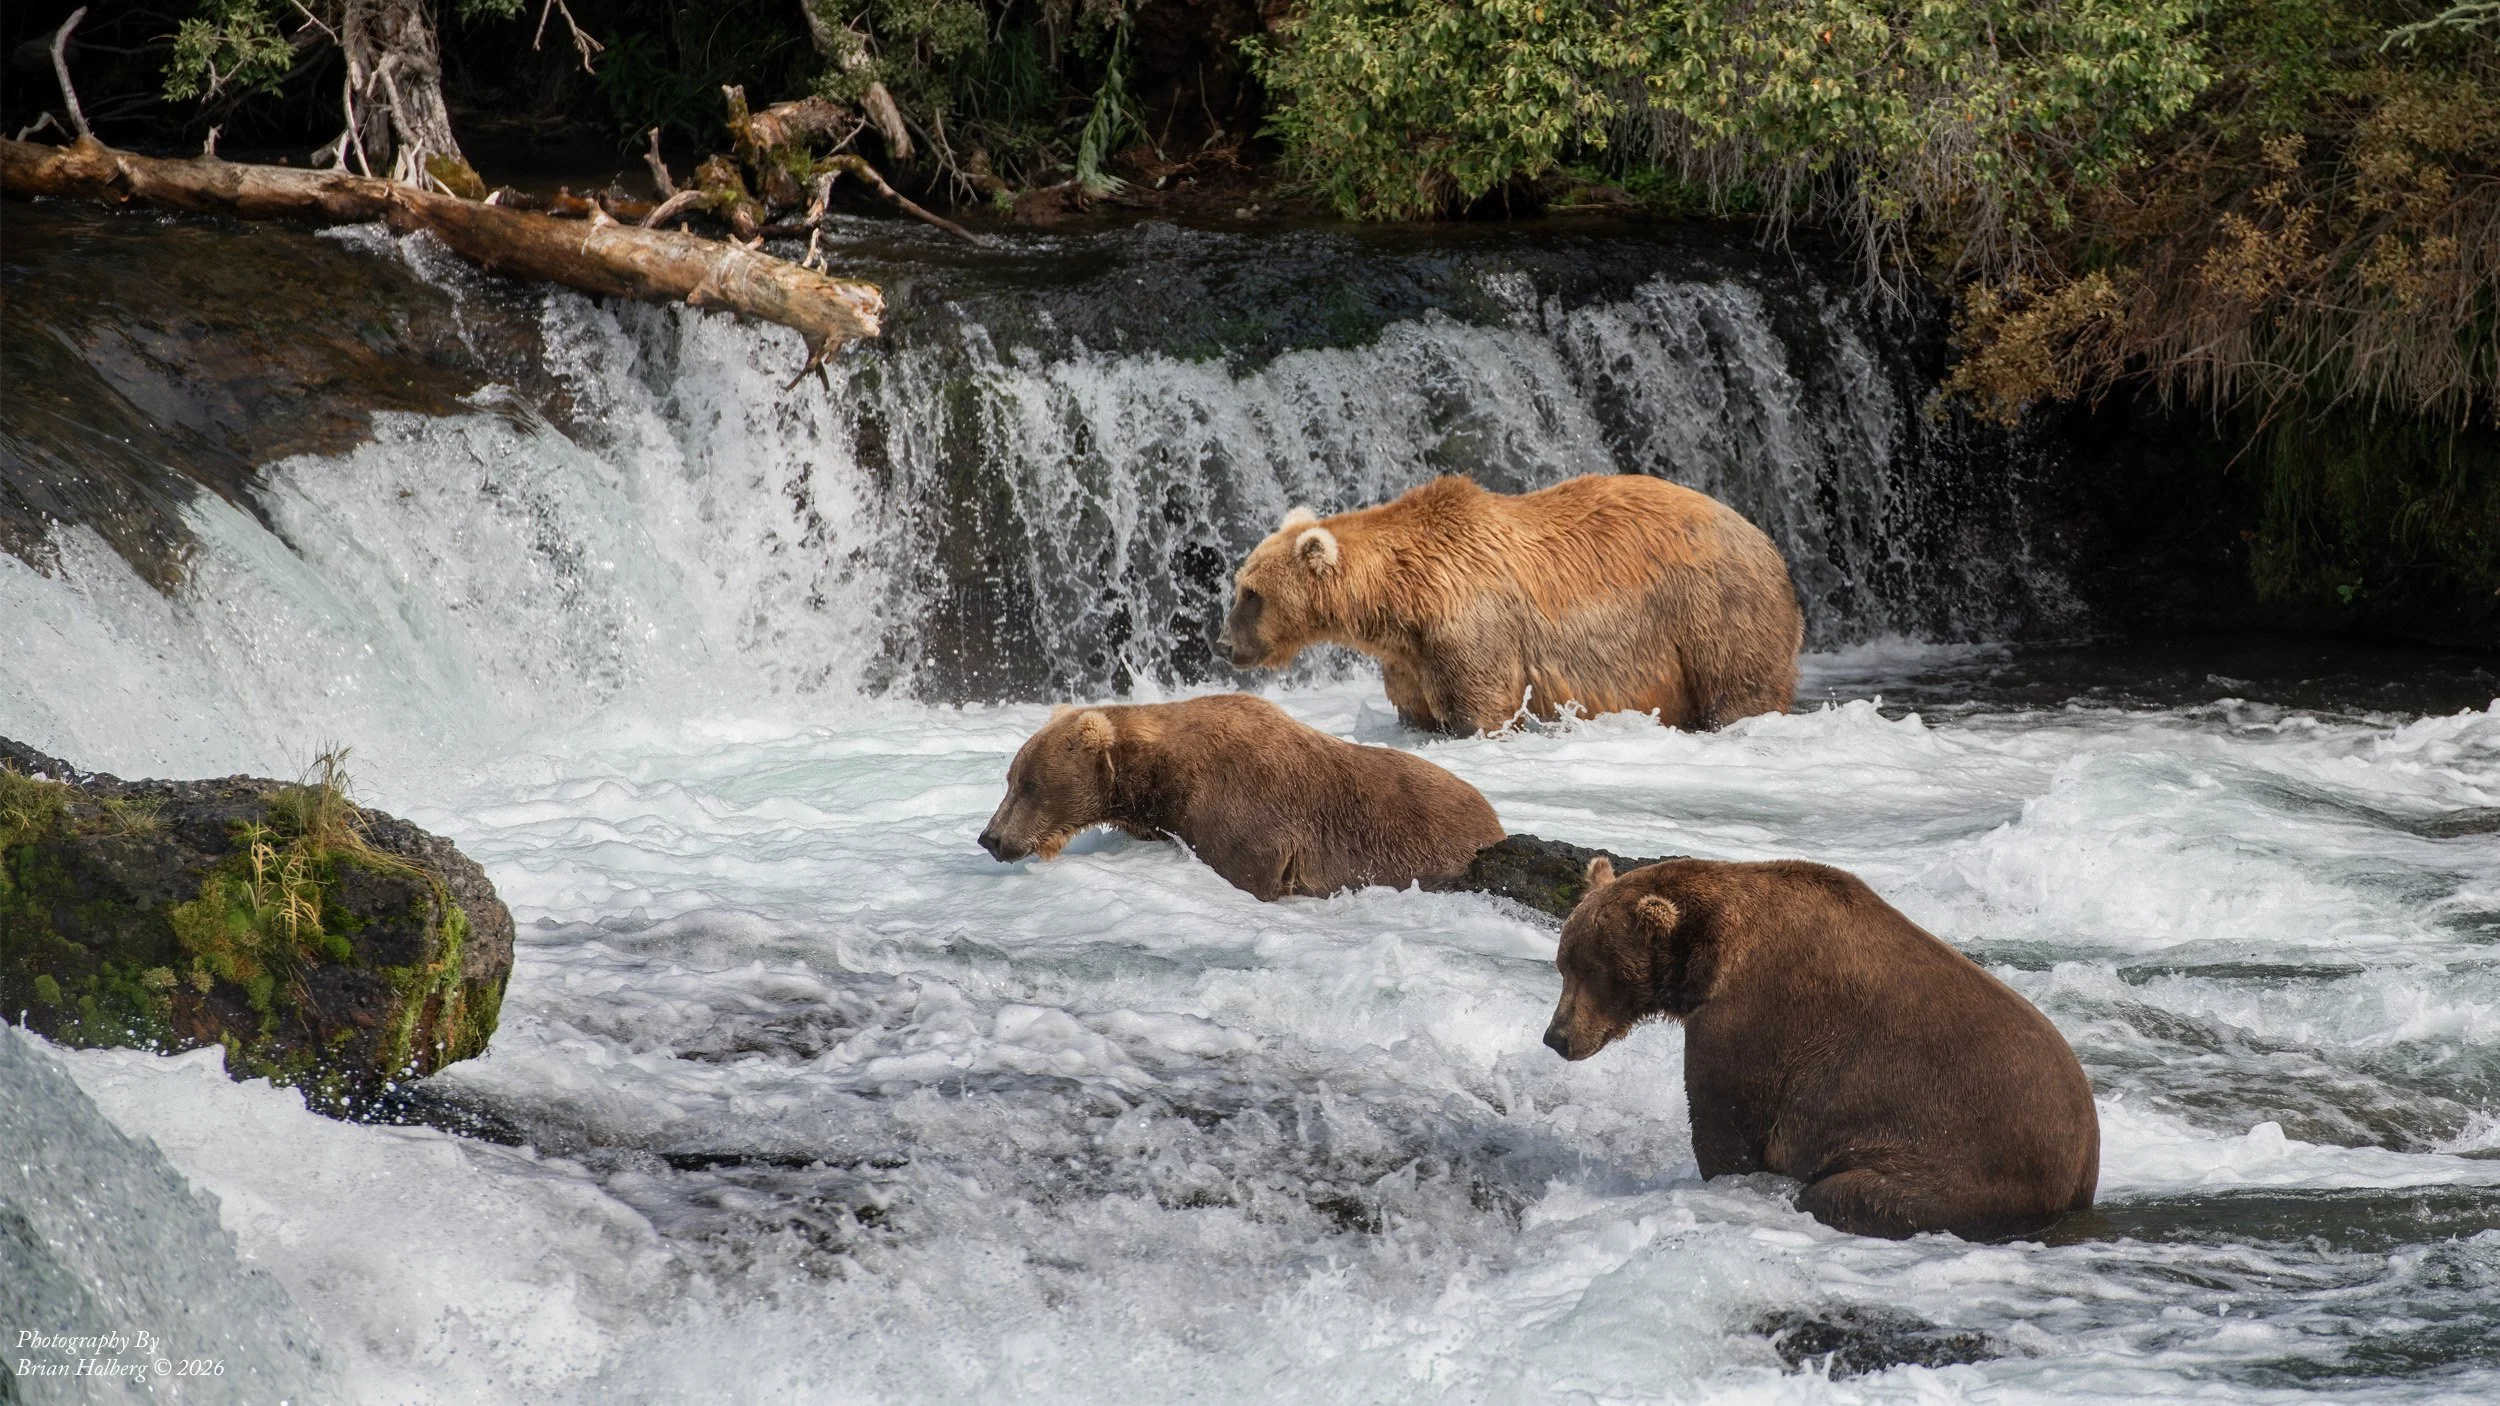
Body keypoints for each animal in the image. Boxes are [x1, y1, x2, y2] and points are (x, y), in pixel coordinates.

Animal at [976, 693, 1506, 901]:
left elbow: (1248, 868)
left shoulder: (1244, 810)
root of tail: (1495, 818)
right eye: (1011, 777)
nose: (990, 838)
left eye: (1027, 783)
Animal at [1223, 473, 1802, 735]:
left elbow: (1481, 707)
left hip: (1716, 609)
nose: (1225, 643)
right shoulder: (1408, 656)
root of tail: (1768, 542)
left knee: (1739, 686)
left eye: (1251, 594)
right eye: (1240, 585)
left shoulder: (1471, 626)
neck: (1402, 597)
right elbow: (1415, 709)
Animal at [1544, 855, 2099, 1241]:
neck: (1707, 954)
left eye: (1592, 969)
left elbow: (1727, 1130)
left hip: (1955, 1167)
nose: (1556, 1037)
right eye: (1562, 962)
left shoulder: (1753, 1020)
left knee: (1840, 1195)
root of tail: (2084, 1165)